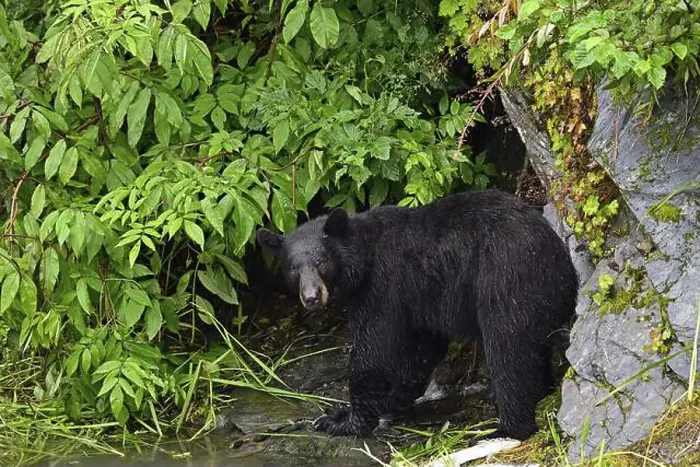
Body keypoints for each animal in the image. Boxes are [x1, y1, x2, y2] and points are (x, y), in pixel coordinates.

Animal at [256, 189, 578, 440]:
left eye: (322, 262)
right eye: (293, 268)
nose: (311, 297)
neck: (364, 256)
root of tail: (563, 270)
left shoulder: (384, 286)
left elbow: (375, 351)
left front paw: (344, 420)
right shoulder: (420, 300)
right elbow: (421, 350)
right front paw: (386, 405)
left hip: (508, 282)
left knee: (508, 351)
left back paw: (506, 429)